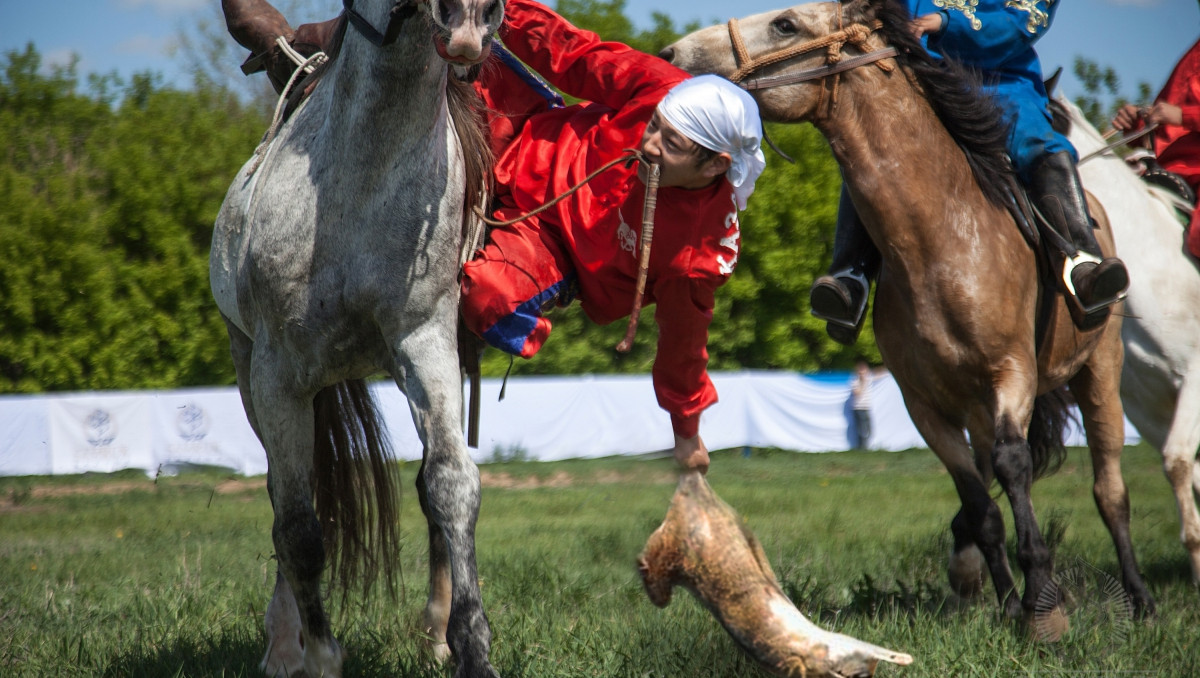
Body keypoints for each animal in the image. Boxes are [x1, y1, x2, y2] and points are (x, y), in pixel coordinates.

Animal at [211, 1, 501, 676]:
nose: (471, 17)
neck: (361, 179)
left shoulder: (425, 342)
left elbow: (449, 484)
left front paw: (469, 645)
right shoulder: (277, 376)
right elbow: (298, 527)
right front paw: (319, 655)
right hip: (252, 374)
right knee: (285, 497)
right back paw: (283, 644)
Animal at [662, 0, 1156, 619]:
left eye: (785, 24)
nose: (674, 55)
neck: (939, 242)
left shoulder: (1013, 373)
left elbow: (1014, 465)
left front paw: (1042, 601)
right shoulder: (925, 402)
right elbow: (980, 502)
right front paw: (1009, 604)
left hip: (1099, 371)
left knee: (1109, 490)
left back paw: (1140, 597)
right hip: (976, 405)